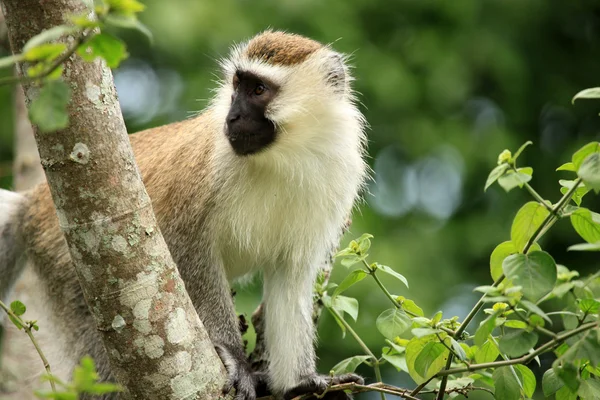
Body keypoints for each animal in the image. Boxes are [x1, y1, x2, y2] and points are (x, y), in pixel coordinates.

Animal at [0, 32, 368, 400]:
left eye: (258, 90)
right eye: (237, 85)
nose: (232, 118)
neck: (283, 156)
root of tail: (34, 203)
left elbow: (290, 277)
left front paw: (300, 382)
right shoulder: (205, 174)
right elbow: (185, 250)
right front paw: (233, 355)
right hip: (69, 267)